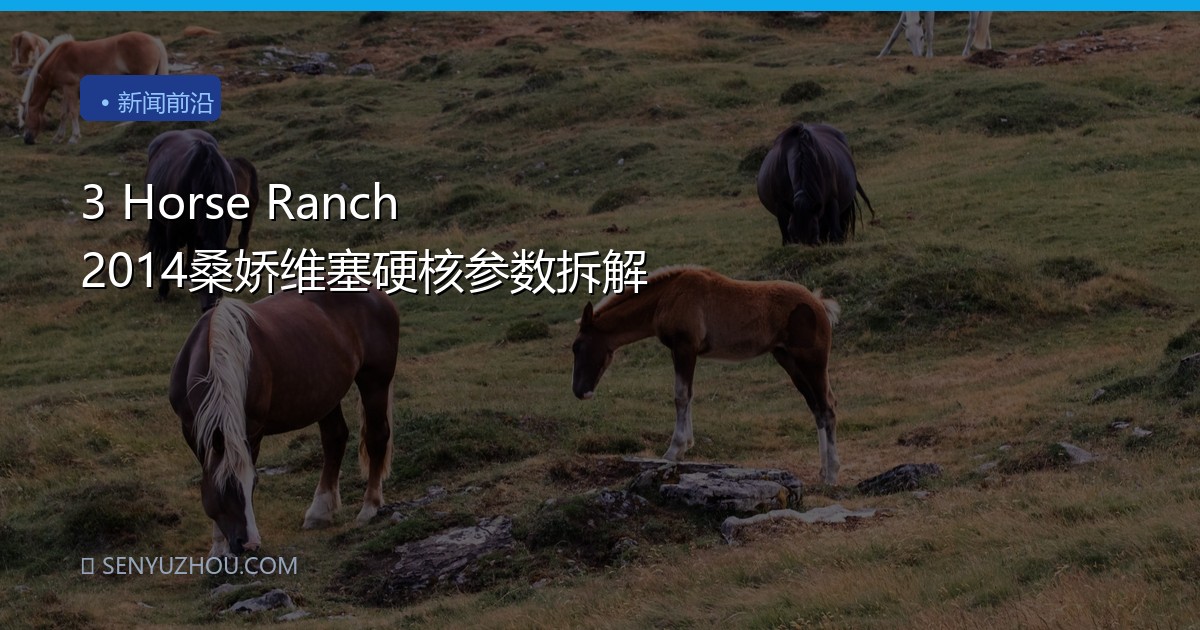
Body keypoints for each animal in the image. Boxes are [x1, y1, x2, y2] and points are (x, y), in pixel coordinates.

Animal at [20, 32, 168, 145]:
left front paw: (74, 137)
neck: (57, 58)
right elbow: (64, 114)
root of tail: (154, 41)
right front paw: (58, 138)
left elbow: (73, 112)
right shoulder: (66, 91)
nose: (27, 139)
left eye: (25, 117)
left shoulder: (70, 89)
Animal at [143, 129, 238, 312]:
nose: (210, 306)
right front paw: (162, 291)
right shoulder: (172, 228)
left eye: (222, 273)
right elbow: (170, 255)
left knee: (192, 245)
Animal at [169, 289, 400, 556]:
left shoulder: (252, 431)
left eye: (254, 484)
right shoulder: (192, 431)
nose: (249, 544)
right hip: (326, 395)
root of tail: (377, 294)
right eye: (225, 487)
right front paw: (218, 548)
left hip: (375, 382)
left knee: (376, 437)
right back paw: (320, 512)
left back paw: (370, 507)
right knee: (335, 439)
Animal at [571, 266, 843, 485]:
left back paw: (831, 474)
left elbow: (681, 395)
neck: (667, 296)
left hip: (812, 363)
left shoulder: (685, 347)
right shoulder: (681, 351)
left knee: (827, 407)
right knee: (816, 408)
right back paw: (822, 470)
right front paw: (685, 446)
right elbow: (688, 395)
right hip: (789, 361)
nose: (579, 391)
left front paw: (674, 450)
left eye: (577, 346)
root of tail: (819, 304)